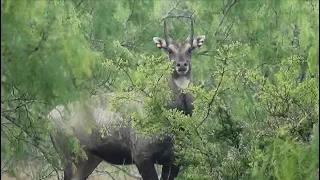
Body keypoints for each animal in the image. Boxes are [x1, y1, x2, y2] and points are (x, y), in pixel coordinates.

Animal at [49, 19, 206, 180]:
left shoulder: (174, 160)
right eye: (169, 50)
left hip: (90, 159)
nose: (181, 65)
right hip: (71, 158)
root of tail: (50, 115)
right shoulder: (142, 157)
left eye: (190, 49)